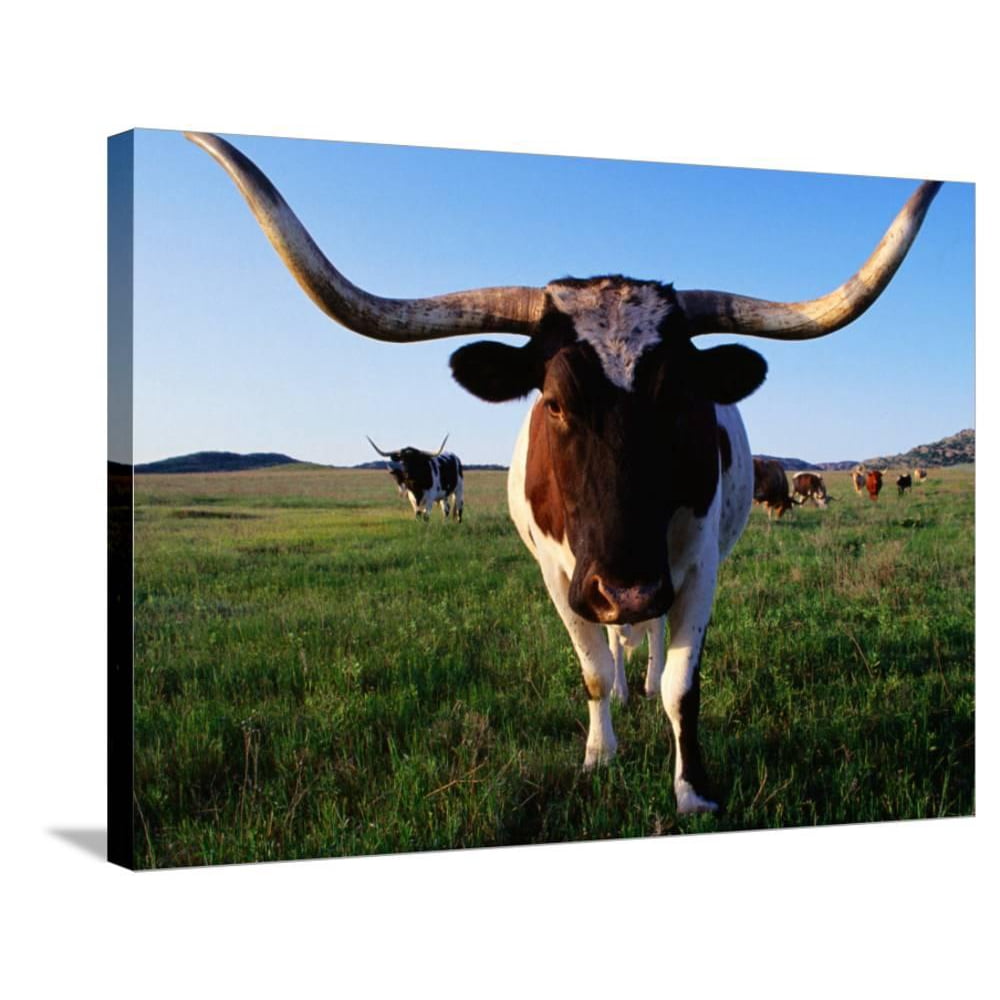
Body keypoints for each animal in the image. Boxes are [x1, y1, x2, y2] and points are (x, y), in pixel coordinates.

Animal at [186, 131, 939, 815]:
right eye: (553, 400)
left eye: (679, 398)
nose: (626, 589)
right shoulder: (558, 574)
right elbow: (593, 671)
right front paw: (600, 755)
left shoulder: (695, 566)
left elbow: (680, 684)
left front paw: (692, 788)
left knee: (649, 644)